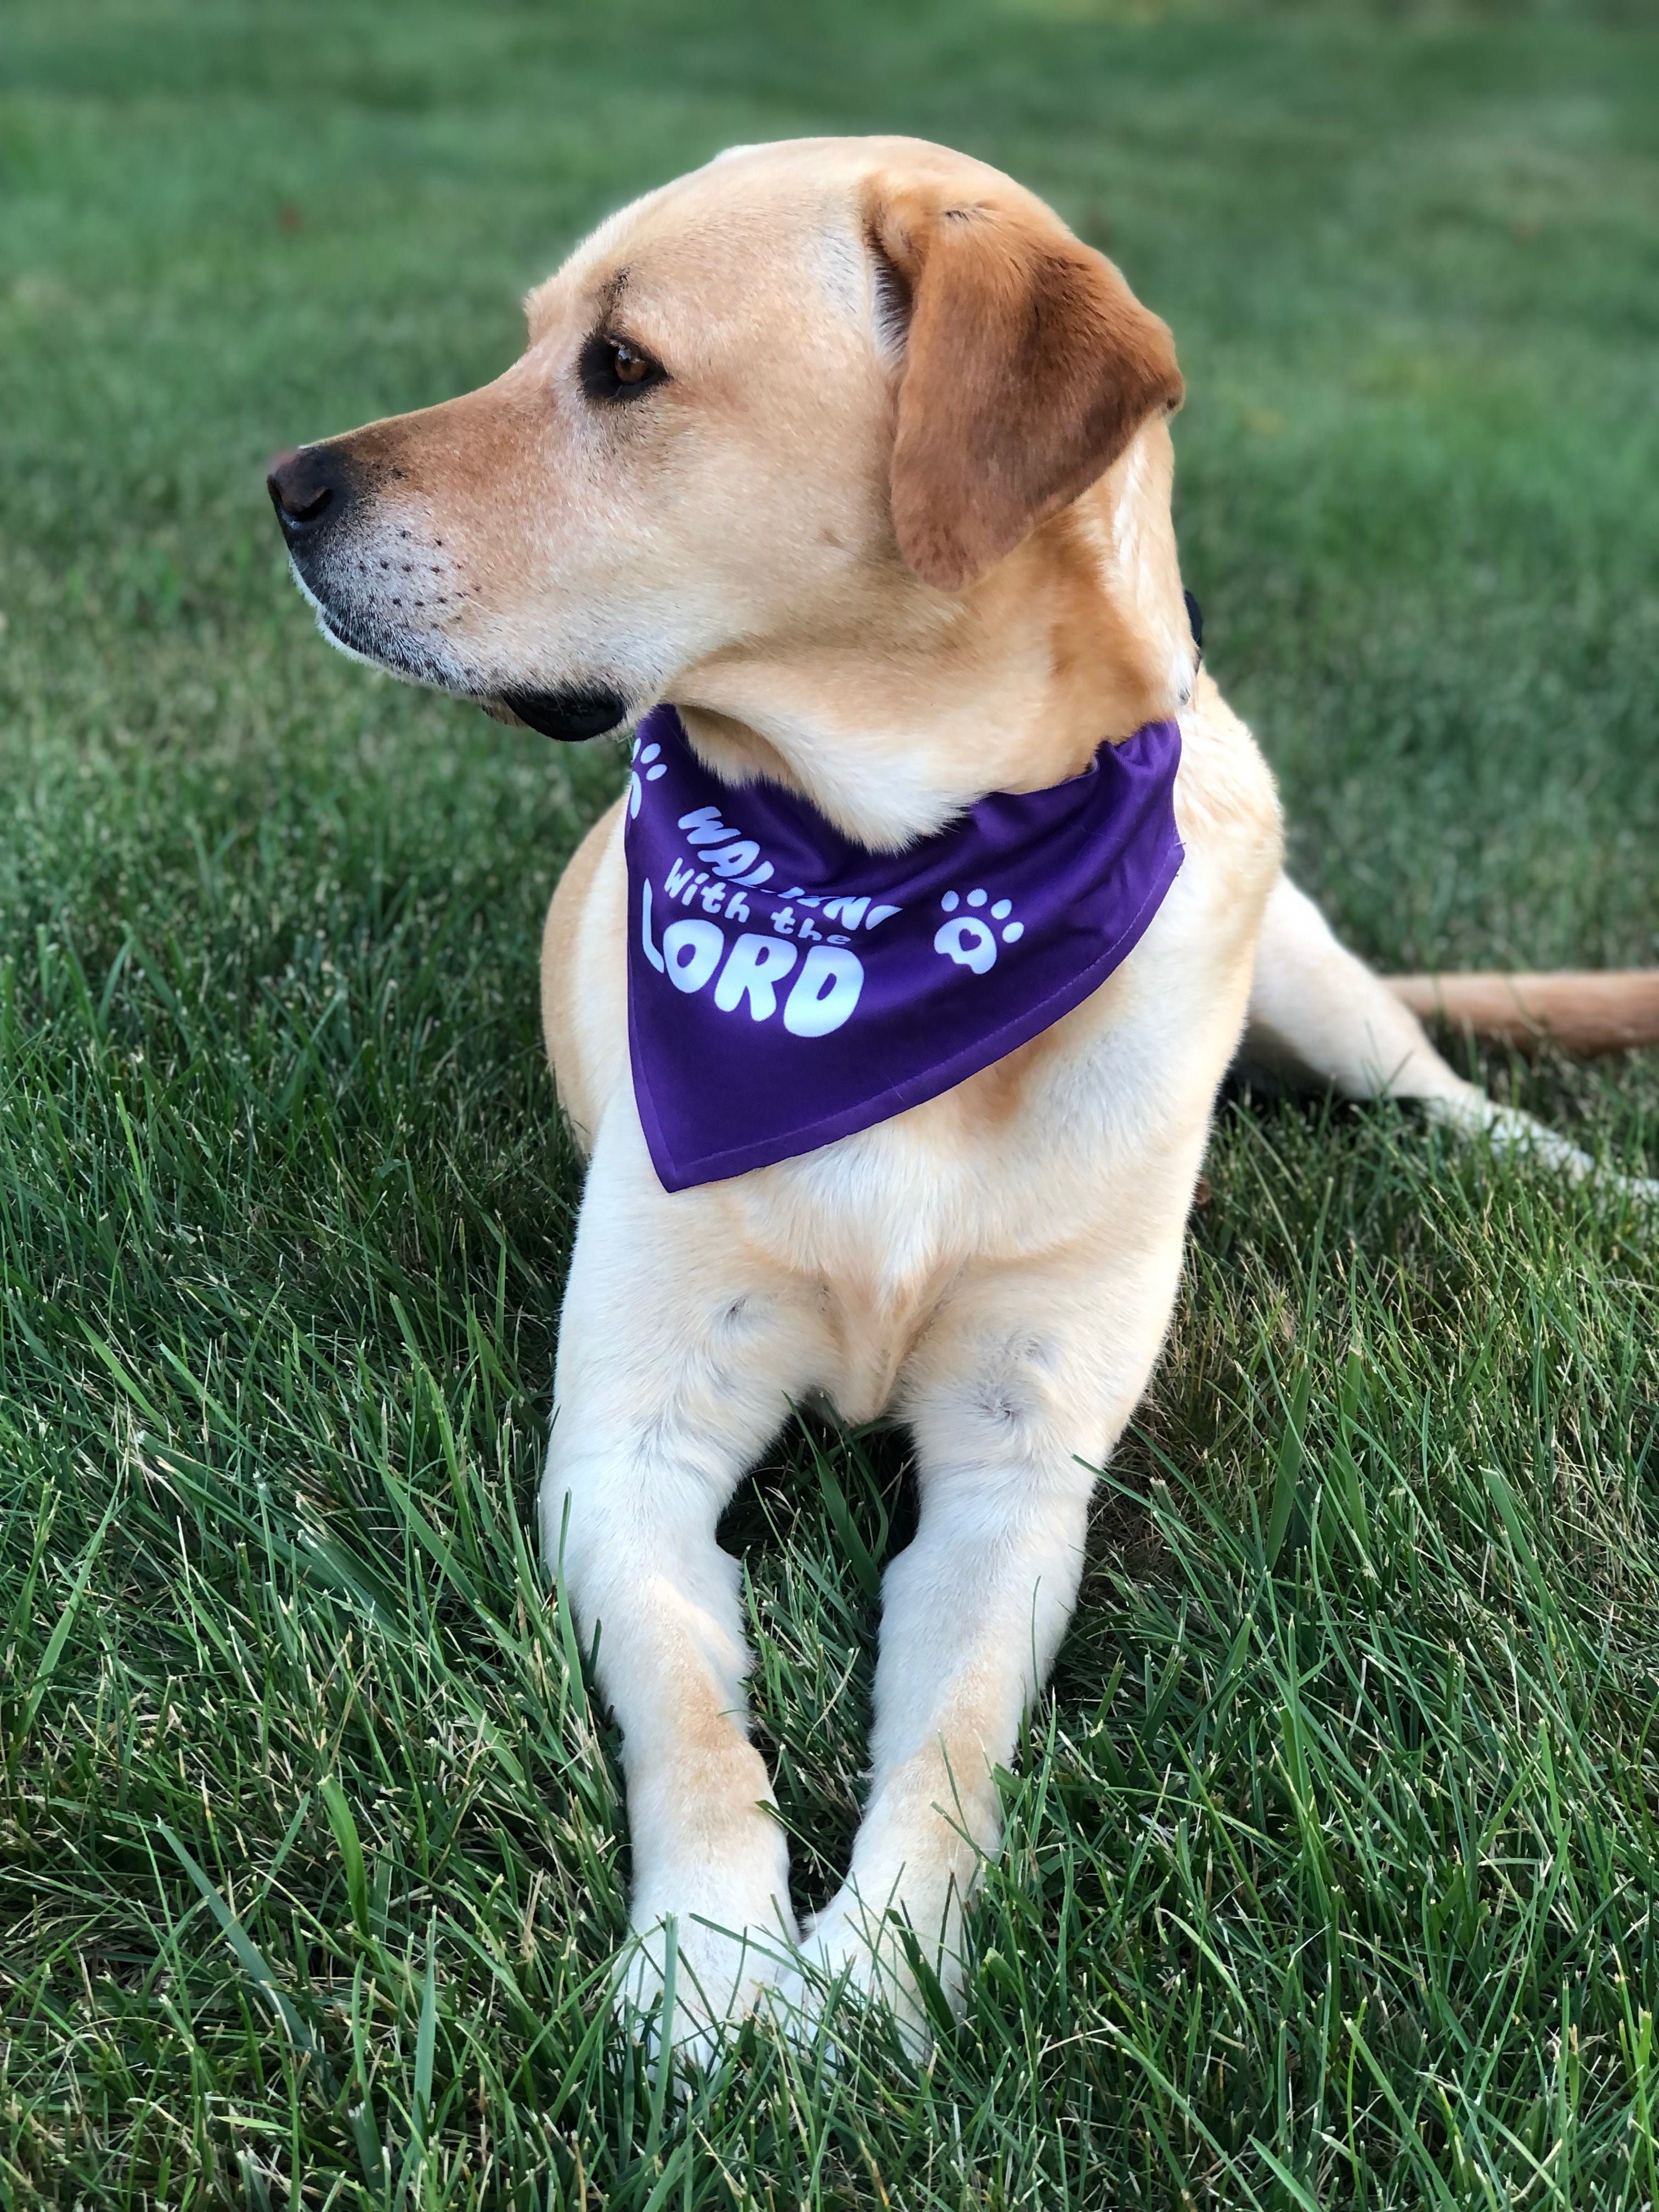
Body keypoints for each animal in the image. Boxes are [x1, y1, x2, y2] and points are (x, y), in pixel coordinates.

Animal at [266, 129, 1654, 2044]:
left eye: (619, 365)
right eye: (537, 336)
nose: (286, 487)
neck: (895, 900)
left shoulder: (1016, 1467)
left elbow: (955, 1740)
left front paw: (878, 1968)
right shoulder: (630, 1444)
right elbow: (693, 1718)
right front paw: (713, 1960)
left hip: (1310, 964)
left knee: (1444, 1095)